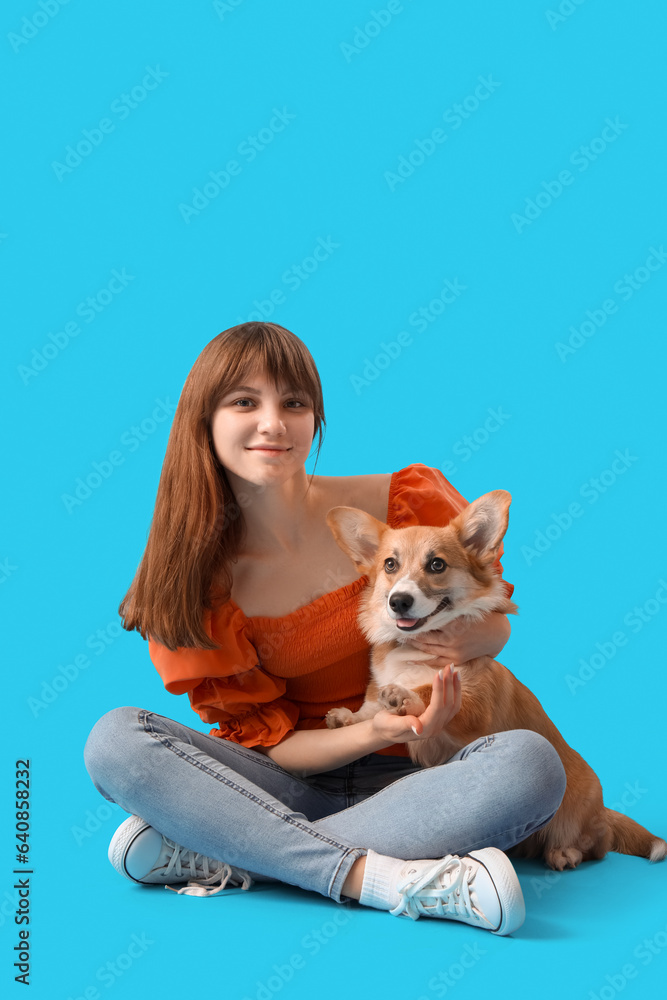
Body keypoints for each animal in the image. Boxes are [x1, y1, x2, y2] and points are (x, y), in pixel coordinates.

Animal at [324, 490, 664, 868]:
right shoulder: (377, 694)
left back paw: (565, 852)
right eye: (389, 565)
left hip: (581, 810)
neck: (416, 646)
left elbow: (427, 690)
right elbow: (368, 710)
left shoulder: (473, 706)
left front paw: (405, 696)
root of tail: (604, 811)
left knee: (595, 846)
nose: (399, 601)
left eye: (437, 565)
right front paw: (346, 717)